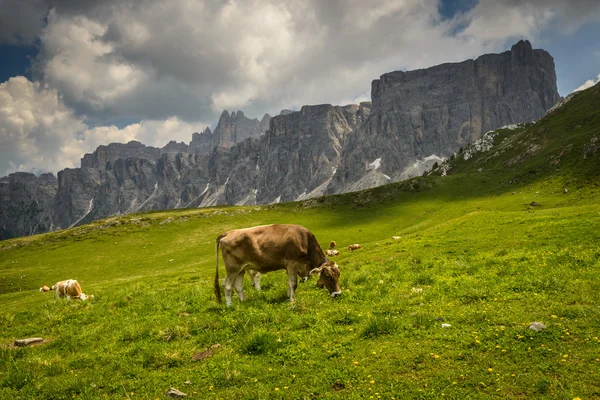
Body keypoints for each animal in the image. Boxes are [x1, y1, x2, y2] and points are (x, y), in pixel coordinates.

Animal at [214, 223, 342, 304]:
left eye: (338, 275)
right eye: (328, 276)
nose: (338, 294)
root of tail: (227, 233)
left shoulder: (289, 267)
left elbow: (289, 283)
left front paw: (289, 296)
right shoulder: (291, 263)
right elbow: (293, 283)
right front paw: (292, 301)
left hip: (241, 269)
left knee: (238, 286)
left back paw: (243, 302)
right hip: (232, 268)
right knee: (227, 286)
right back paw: (230, 306)